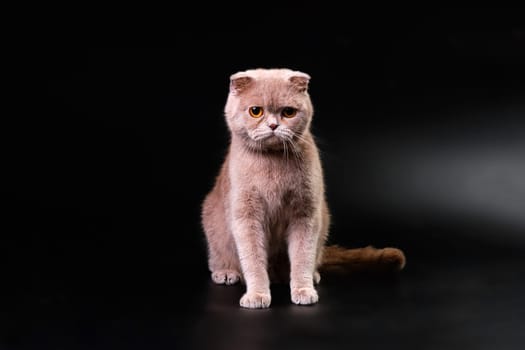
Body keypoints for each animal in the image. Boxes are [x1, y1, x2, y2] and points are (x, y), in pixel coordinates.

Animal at [201, 67, 406, 308]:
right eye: (255, 111)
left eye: (288, 112)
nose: (273, 125)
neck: (273, 167)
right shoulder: (246, 215)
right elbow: (252, 259)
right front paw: (257, 295)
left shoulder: (306, 212)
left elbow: (302, 256)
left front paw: (303, 290)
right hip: (213, 221)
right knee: (218, 257)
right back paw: (226, 272)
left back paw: (312, 275)